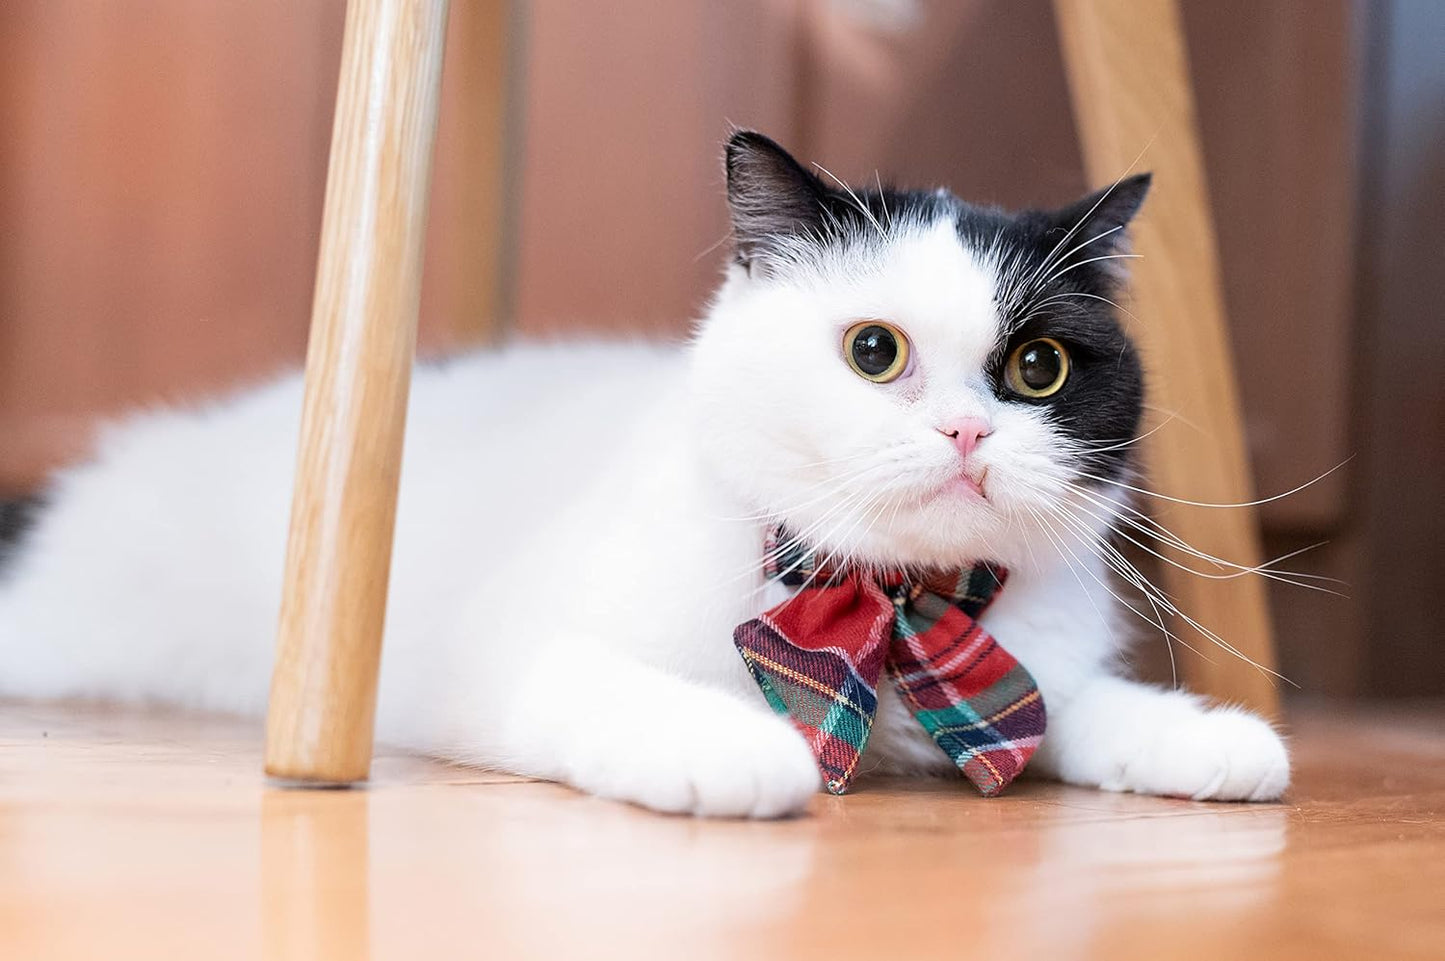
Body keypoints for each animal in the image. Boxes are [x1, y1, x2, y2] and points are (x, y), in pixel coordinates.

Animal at [0, 131, 1288, 815]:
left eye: (1036, 368)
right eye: (873, 352)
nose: (969, 435)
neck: (889, 615)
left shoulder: (1023, 668)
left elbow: (1064, 704)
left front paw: (1207, 737)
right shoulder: (493, 652)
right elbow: (616, 686)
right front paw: (734, 749)